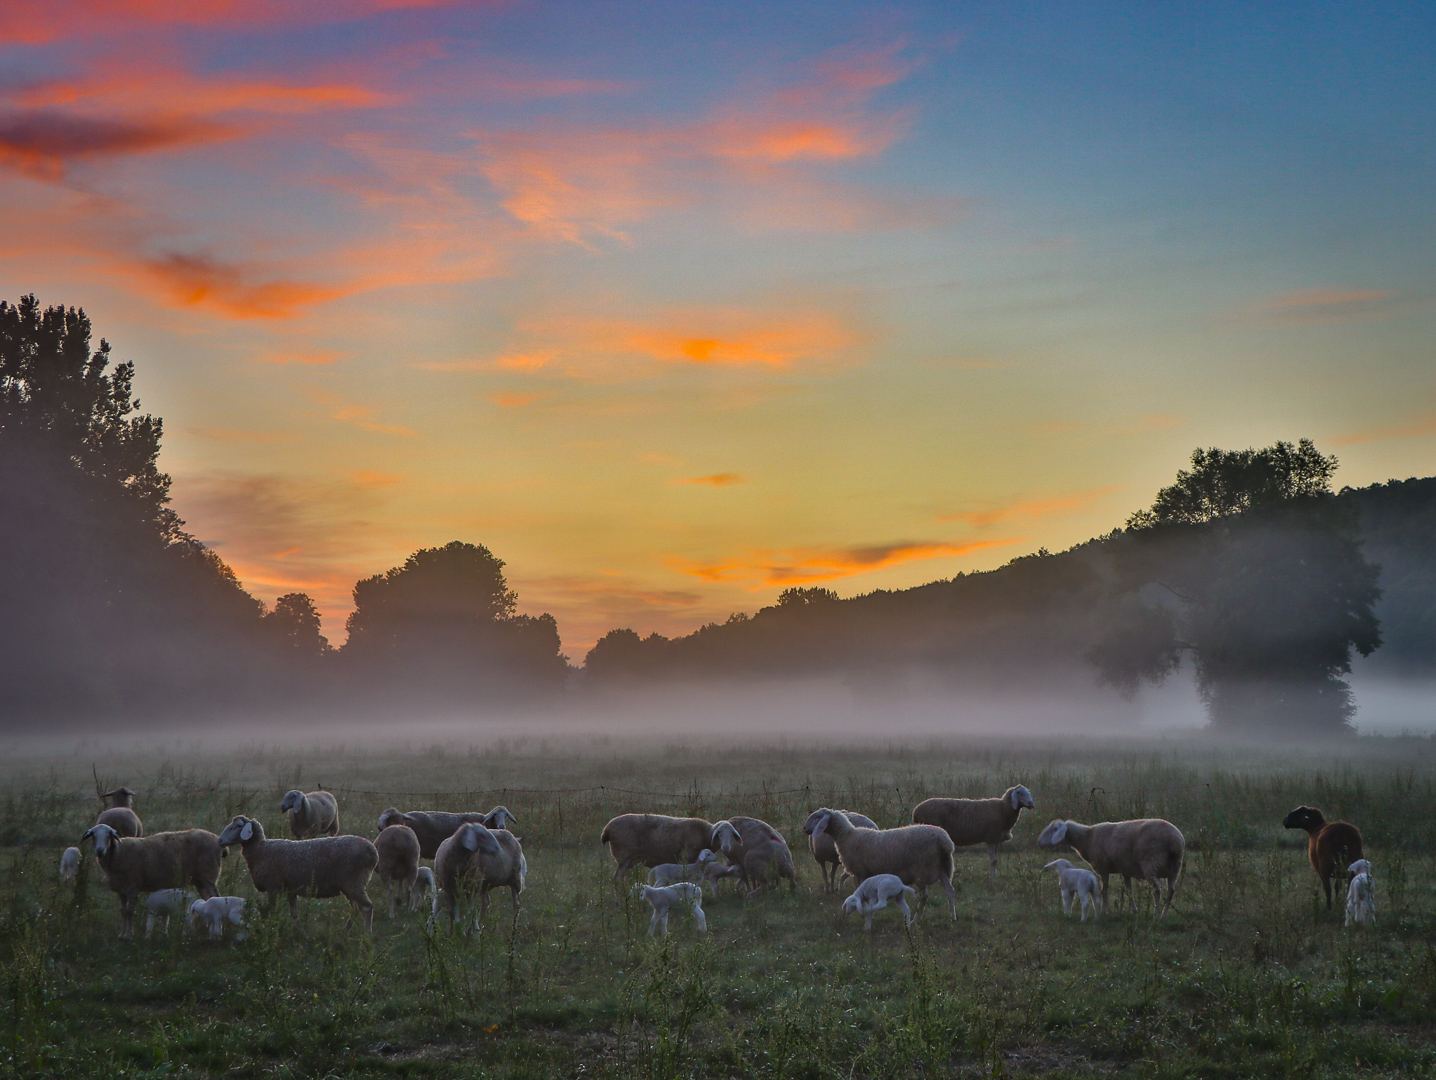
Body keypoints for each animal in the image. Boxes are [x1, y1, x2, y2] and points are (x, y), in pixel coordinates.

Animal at [79, 821, 221, 942]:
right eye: (93, 835)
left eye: (108, 835)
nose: (100, 850)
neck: (119, 853)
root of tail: (217, 839)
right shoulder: (121, 890)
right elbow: (123, 912)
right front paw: (122, 934)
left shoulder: (133, 887)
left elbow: (130, 912)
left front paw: (129, 935)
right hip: (200, 881)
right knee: (206, 901)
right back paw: (204, 927)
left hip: (209, 876)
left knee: (216, 898)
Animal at [215, 815, 379, 930]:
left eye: (237, 826)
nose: (220, 841)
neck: (260, 849)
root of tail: (372, 851)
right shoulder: (291, 890)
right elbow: (294, 914)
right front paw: (300, 933)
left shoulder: (272, 886)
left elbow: (271, 911)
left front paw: (269, 929)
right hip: (349, 886)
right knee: (355, 909)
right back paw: (344, 933)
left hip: (354, 882)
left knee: (367, 907)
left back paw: (367, 937)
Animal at [804, 810, 959, 919]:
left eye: (817, 817)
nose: (805, 829)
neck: (847, 836)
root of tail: (945, 841)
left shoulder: (860, 871)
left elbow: (858, 892)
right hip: (943, 867)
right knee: (949, 890)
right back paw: (953, 916)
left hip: (921, 868)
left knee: (924, 896)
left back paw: (917, 919)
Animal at [1039, 815, 1183, 913]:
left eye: (1054, 829)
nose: (1038, 841)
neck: (1087, 838)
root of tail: (1174, 841)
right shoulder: (1125, 869)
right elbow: (1129, 891)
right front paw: (1134, 910)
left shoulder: (1103, 868)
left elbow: (1104, 890)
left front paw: (1103, 910)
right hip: (1175, 868)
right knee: (1171, 891)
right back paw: (1164, 915)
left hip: (1151, 862)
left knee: (1157, 890)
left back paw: (1156, 914)